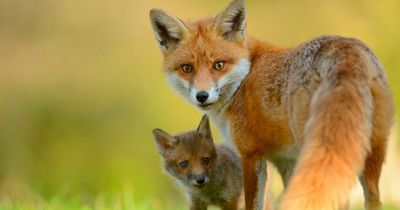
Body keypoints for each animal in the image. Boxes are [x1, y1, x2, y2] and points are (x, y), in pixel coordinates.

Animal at [149, 0, 394, 208]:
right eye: (187, 68)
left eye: (219, 65)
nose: (202, 96)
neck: (244, 78)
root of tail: (346, 49)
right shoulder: (286, 160)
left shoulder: (251, 155)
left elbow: (253, 203)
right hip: (370, 151)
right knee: (373, 199)